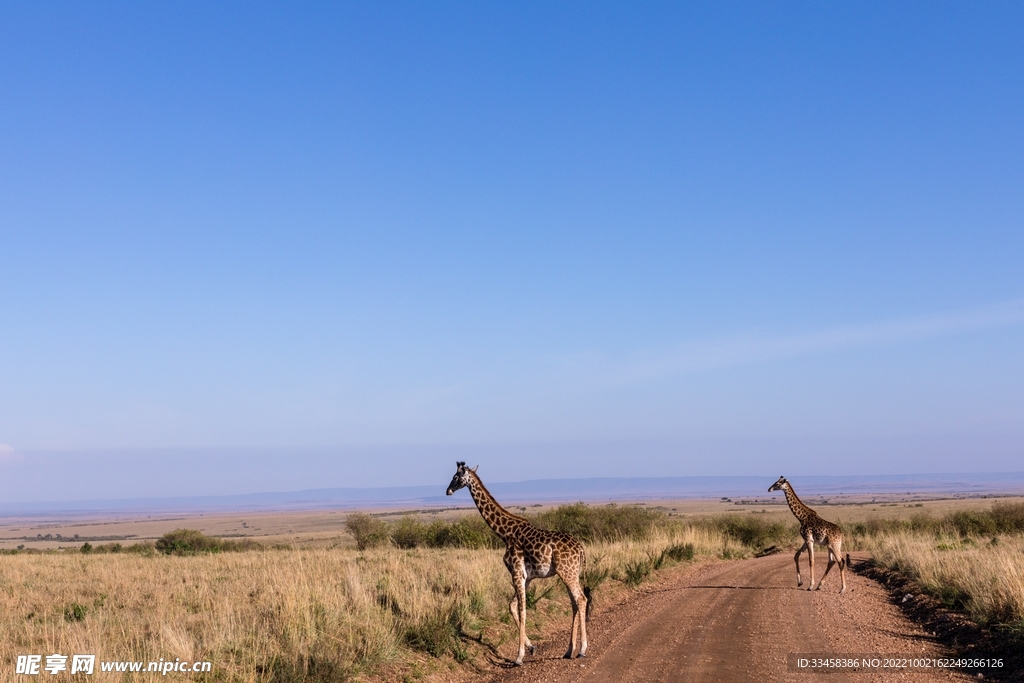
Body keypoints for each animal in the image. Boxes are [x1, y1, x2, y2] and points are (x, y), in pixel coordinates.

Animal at [444, 462, 589, 663]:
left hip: (568, 572)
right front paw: (531, 647)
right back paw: (569, 650)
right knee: (575, 603)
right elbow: (512, 606)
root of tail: (581, 549)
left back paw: (582, 649)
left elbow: (522, 610)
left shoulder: (516, 572)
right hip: (569, 573)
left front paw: (519, 656)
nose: (448, 491)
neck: (505, 533)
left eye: (456, 477)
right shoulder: (526, 577)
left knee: (581, 599)